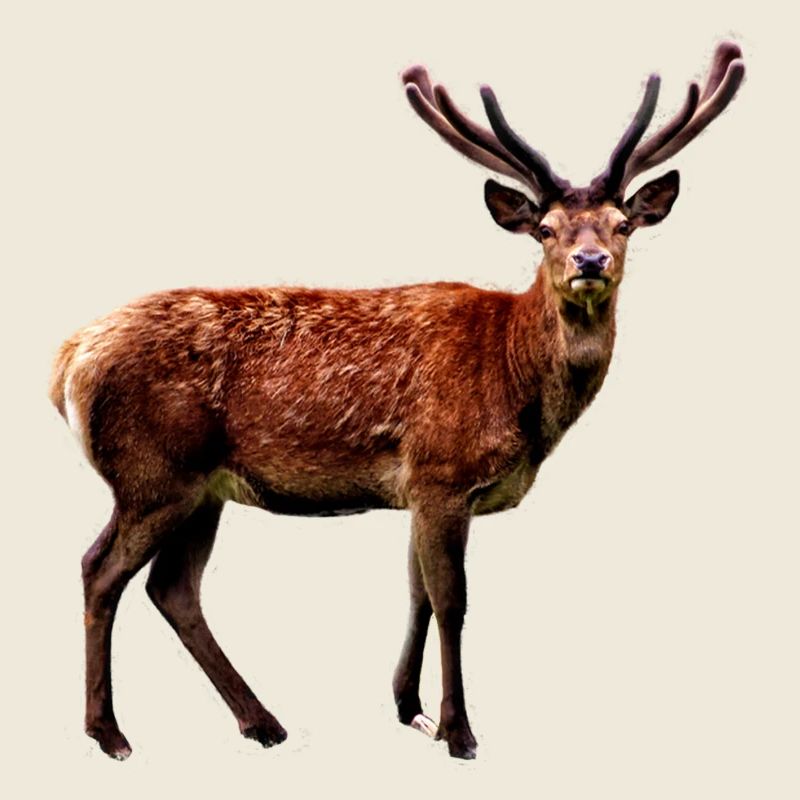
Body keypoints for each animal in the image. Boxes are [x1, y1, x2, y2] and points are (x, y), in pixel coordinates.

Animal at [49, 42, 744, 761]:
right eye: (546, 229)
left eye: (622, 224)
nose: (590, 261)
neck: (518, 387)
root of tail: (69, 360)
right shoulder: (442, 471)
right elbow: (452, 600)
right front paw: (459, 731)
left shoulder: (417, 488)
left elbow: (417, 594)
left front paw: (410, 707)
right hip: (153, 473)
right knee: (100, 569)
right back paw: (109, 732)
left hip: (202, 488)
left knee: (174, 588)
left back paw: (261, 722)